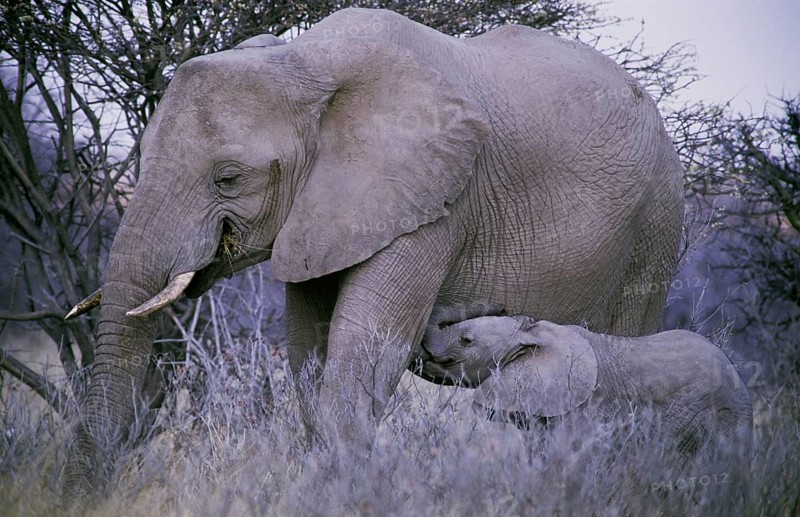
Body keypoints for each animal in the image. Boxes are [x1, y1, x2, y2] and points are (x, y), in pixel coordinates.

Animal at [62, 8, 684, 496]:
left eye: (229, 179)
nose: (81, 494)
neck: (304, 60)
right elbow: (309, 351)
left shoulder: (435, 198)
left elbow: (366, 348)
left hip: (655, 224)